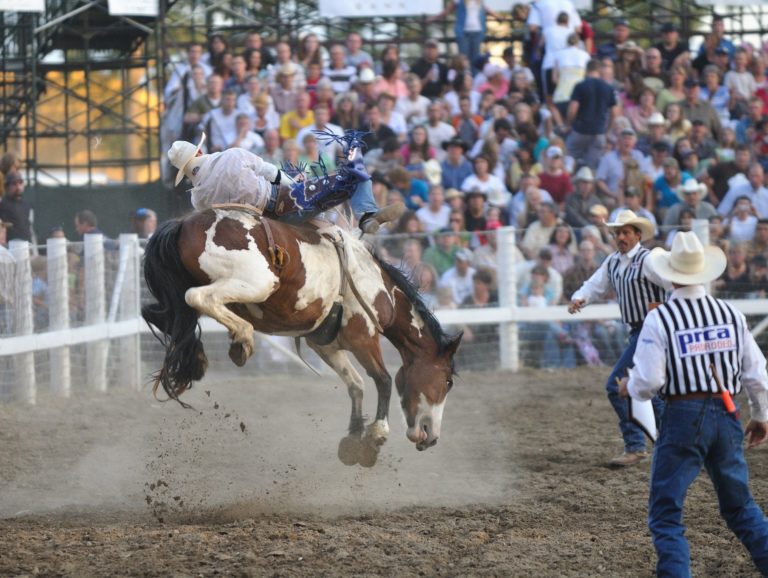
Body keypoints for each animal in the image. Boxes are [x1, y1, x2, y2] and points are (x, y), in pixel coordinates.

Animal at [141, 209, 460, 466]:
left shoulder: (325, 345)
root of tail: (183, 223)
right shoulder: (364, 335)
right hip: (257, 282)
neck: (378, 286)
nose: (431, 436)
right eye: (448, 381)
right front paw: (375, 436)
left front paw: (354, 438)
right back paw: (242, 340)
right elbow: (382, 380)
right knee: (196, 297)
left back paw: (198, 359)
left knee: (161, 314)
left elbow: (355, 384)